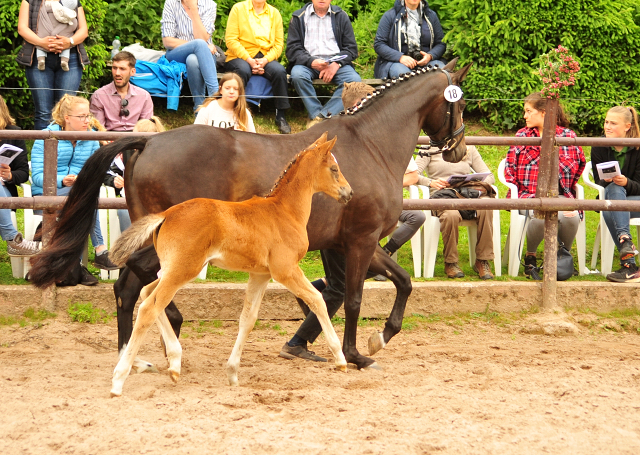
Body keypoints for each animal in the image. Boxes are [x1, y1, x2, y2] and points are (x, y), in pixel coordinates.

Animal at [108, 134, 352, 398]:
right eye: (334, 169)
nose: (348, 192)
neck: (284, 211)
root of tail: (166, 215)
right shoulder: (285, 270)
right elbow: (317, 299)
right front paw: (340, 359)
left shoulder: (260, 275)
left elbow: (248, 318)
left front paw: (233, 373)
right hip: (183, 270)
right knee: (148, 308)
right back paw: (120, 379)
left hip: (174, 269)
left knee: (147, 293)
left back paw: (173, 363)